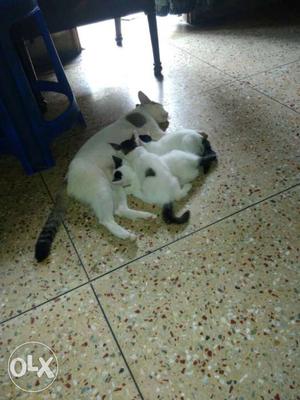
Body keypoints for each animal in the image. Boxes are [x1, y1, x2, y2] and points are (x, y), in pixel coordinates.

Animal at [35, 92, 169, 264]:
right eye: (161, 105)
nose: (168, 112)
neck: (139, 112)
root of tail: (66, 178)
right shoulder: (156, 132)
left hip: (116, 186)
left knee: (120, 210)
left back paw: (145, 216)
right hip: (102, 189)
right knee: (106, 219)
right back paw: (127, 235)